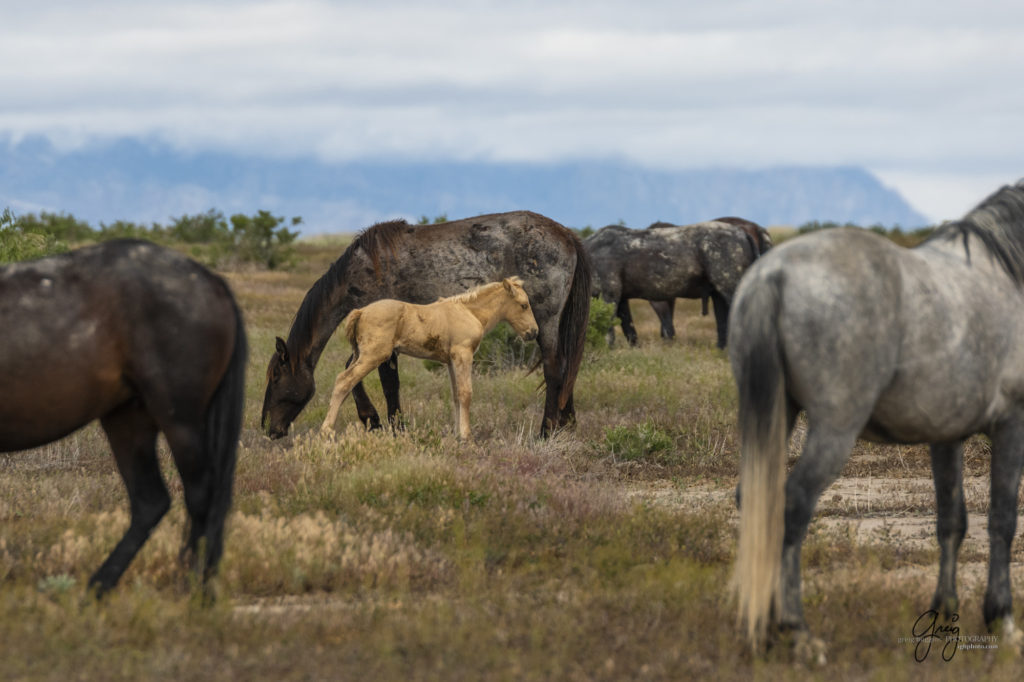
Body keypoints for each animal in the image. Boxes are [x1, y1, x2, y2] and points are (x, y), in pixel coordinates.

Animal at [0, 241, 247, 593]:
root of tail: (212, 280)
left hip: (180, 421)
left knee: (201, 497)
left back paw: (193, 589)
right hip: (128, 420)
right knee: (151, 502)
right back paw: (97, 589)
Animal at [323, 278, 540, 440]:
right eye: (524, 305)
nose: (533, 332)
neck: (469, 312)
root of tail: (360, 312)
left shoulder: (451, 360)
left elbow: (456, 395)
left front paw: (457, 434)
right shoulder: (463, 354)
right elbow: (466, 393)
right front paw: (466, 436)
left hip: (360, 354)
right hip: (373, 355)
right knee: (344, 380)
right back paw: (327, 431)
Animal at [585, 218, 770, 346]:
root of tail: (743, 232)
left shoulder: (609, 296)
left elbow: (609, 330)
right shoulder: (622, 300)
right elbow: (629, 328)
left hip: (730, 289)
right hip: (718, 296)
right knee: (723, 325)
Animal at [733, 179, 1024, 659]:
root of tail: (774, 275)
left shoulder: (947, 436)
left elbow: (952, 521)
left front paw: (944, 613)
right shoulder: (1011, 425)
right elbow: (1002, 518)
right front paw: (1002, 618)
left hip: (773, 416)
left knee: (757, 500)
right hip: (834, 430)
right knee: (794, 502)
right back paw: (797, 630)